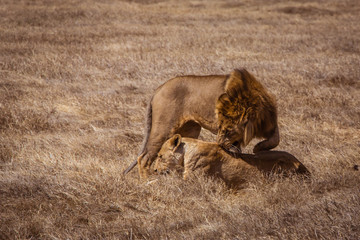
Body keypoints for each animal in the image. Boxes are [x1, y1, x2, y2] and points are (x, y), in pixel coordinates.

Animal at [125, 68, 280, 177]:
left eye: (228, 130)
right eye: (220, 127)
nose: (219, 143)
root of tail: (158, 89)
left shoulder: (271, 122)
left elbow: (275, 139)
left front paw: (258, 148)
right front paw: (254, 150)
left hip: (190, 129)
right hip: (164, 128)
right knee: (143, 158)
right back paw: (148, 182)